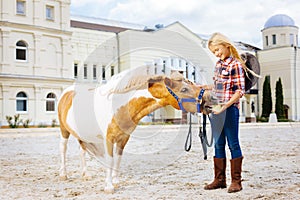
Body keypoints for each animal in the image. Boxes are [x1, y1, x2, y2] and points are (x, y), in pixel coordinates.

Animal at [57, 70, 214, 192]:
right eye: (184, 89)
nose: (209, 100)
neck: (119, 108)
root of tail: (67, 92)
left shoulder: (124, 138)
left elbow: (118, 158)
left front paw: (116, 181)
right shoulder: (108, 138)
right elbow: (110, 159)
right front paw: (109, 186)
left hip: (83, 134)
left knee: (82, 151)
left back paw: (85, 174)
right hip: (64, 130)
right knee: (63, 149)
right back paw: (64, 174)